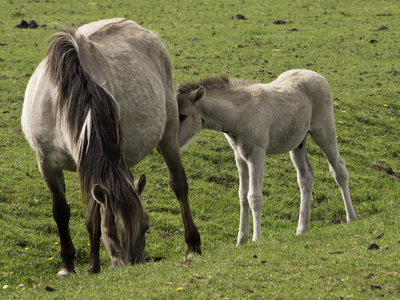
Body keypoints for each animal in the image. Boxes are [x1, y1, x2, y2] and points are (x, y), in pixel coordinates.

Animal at [20, 18, 202, 276]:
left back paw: (193, 245)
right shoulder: (46, 162)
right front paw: (68, 265)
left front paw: (92, 266)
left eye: (146, 227)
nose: (132, 267)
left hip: (168, 136)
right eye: (111, 234)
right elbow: (61, 212)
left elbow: (92, 217)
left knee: (179, 185)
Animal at [177, 70, 358, 246]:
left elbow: (254, 196)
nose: (172, 141)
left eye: (183, 116)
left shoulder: (256, 154)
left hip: (324, 133)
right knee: (305, 176)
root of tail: (317, 75)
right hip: (297, 144)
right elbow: (242, 196)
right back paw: (302, 229)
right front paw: (241, 240)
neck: (239, 113)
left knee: (339, 170)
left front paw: (257, 238)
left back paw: (351, 217)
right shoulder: (240, 156)